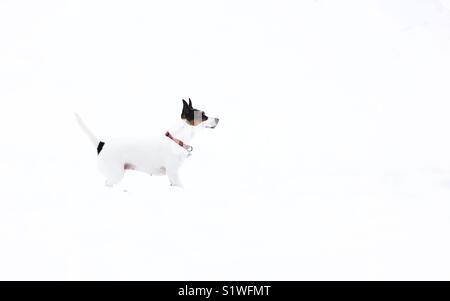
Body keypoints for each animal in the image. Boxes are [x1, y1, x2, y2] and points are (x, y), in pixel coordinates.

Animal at [75, 98, 220, 186]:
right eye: (203, 115)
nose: (218, 119)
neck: (176, 139)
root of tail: (102, 144)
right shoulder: (173, 173)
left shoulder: (172, 176)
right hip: (115, 175)